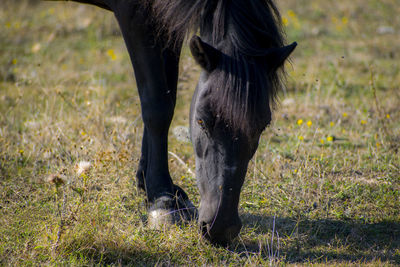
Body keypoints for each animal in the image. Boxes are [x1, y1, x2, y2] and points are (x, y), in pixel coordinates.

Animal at [48, 0, 296, 245]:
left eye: (263, 126)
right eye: (201, 120)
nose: (221, 228)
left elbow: (167, 95)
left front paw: (148, 186)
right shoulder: (136, 16)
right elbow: (158, 104)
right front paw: (163, 200)